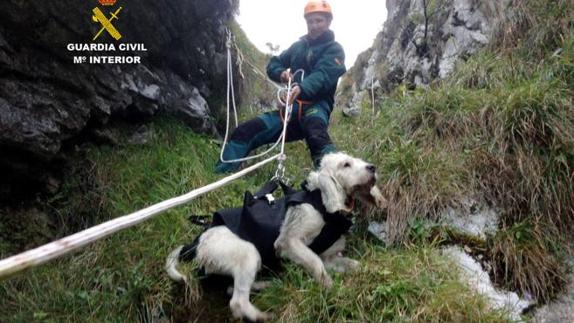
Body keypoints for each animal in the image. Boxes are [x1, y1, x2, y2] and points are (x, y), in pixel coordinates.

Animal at [166, 153, 388, 322]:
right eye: (346, 164)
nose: (373, 168)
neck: (323, 205)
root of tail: (197, 244)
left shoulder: (330, 258)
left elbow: (352, 264)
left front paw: (370, 271)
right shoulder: (289, 242)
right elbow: (316, 264)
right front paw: (330, 290)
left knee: (231, 288)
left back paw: (268, 285)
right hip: (249, 252)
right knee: (237, 302)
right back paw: (263, 316)